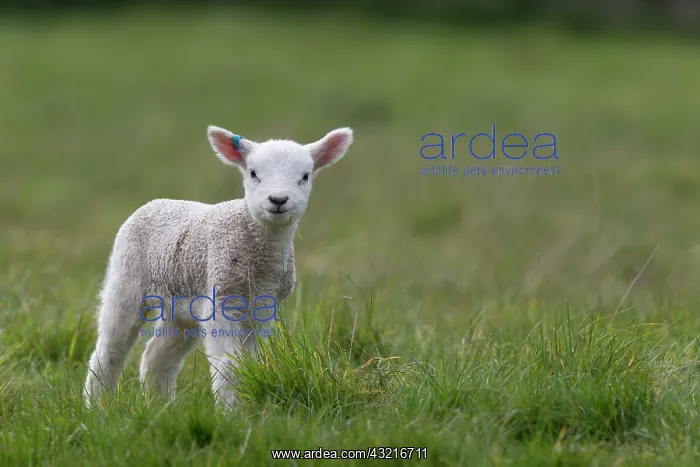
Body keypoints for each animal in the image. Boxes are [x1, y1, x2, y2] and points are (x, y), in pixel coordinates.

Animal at [83, 125, 354, 409]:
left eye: (305, 176)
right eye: (253, 173)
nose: (278, 199)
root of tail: (155, 202)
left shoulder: (263, 307)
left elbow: (251, 363)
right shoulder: (221, 299)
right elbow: (228, 366)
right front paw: (231, 411)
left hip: (181, 305)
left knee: (157, 356)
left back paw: (160, 406)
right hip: (127, 279)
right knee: (110, 348)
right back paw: (97, 405)